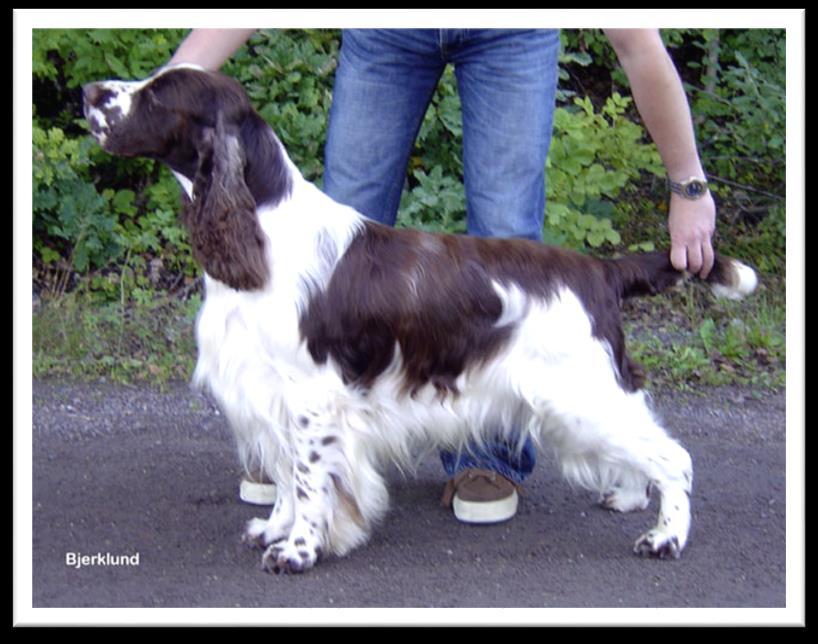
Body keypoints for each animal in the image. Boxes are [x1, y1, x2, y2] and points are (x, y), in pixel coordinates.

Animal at [84, 64, 760, 572]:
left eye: (158, 94)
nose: (88, 93)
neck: (262, 230)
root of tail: (599, 270)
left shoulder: (310, 397)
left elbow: (306, 478)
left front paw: (298, 551)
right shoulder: (266, 391)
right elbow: (284, 475)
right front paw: (274, 529)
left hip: (580, 394)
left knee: (674, 457)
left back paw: (665, 537)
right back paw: (626, 496)